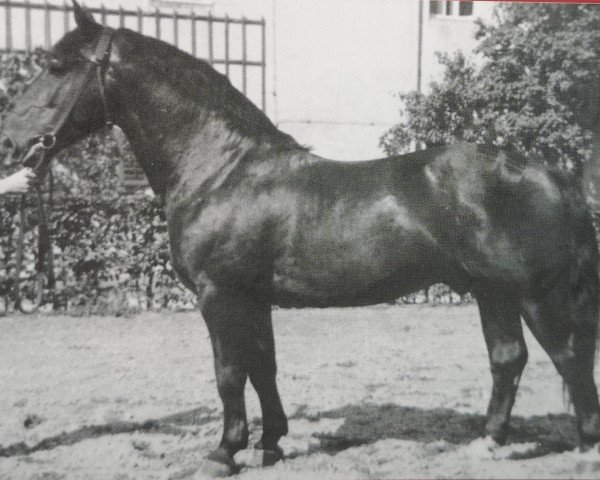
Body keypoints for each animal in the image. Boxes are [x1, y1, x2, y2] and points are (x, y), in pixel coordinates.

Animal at [1, 3, 600, 476]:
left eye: (55, 67)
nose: (10, 141)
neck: (221, 169)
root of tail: (553, 174)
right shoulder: (254, 298)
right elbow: (262, 367)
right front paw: (271, 444)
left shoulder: (220, 296)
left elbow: (229, 374)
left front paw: (224, 453)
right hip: (492, 292)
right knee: (509, 360)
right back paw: (488, 444)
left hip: (535, 295)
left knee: (569, 358)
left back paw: (583, 449)